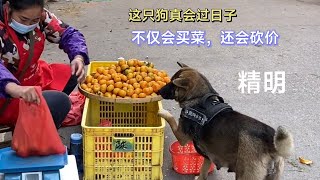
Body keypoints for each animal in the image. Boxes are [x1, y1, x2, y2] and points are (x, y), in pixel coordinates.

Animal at [158, 62, 296, 180]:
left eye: (172, 85)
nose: (158, 91)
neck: (199, 98)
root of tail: (270, 142)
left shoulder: (182, 137)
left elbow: (171, 118)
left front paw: (163, 112)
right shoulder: (207, 156)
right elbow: (203, 171)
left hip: (244, 175)